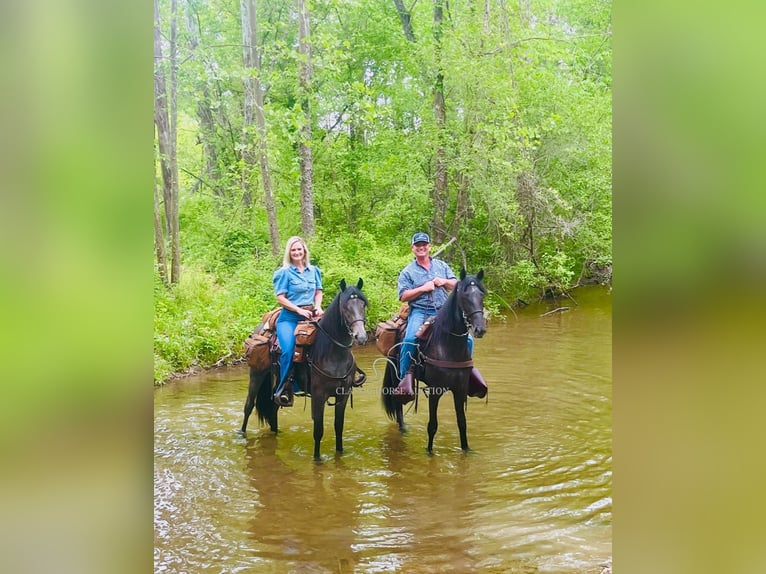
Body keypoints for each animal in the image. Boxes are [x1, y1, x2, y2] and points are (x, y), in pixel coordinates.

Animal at [242, 276, 370, 462]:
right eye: (345, 307)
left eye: (363, 305)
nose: (361, 337)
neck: (332, 352)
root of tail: (261, 327)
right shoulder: (318, 395)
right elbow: (318, 430)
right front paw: (317, 459)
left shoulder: (343, 394)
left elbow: (339, 427)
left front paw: (339, 453)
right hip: (257, 375)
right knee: (248, 406)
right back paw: (242, 435)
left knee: (273, 407)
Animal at [382, 270, 488, 454]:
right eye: (464, 296)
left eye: (482, 295)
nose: (479, 329)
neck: (448, 346)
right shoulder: (435, 390)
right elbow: (432, 425)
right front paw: (429, 452)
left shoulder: (460, 389)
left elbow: (462, 423)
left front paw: (466, 450)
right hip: (397, 377)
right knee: (398, 404)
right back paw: (403, 429)